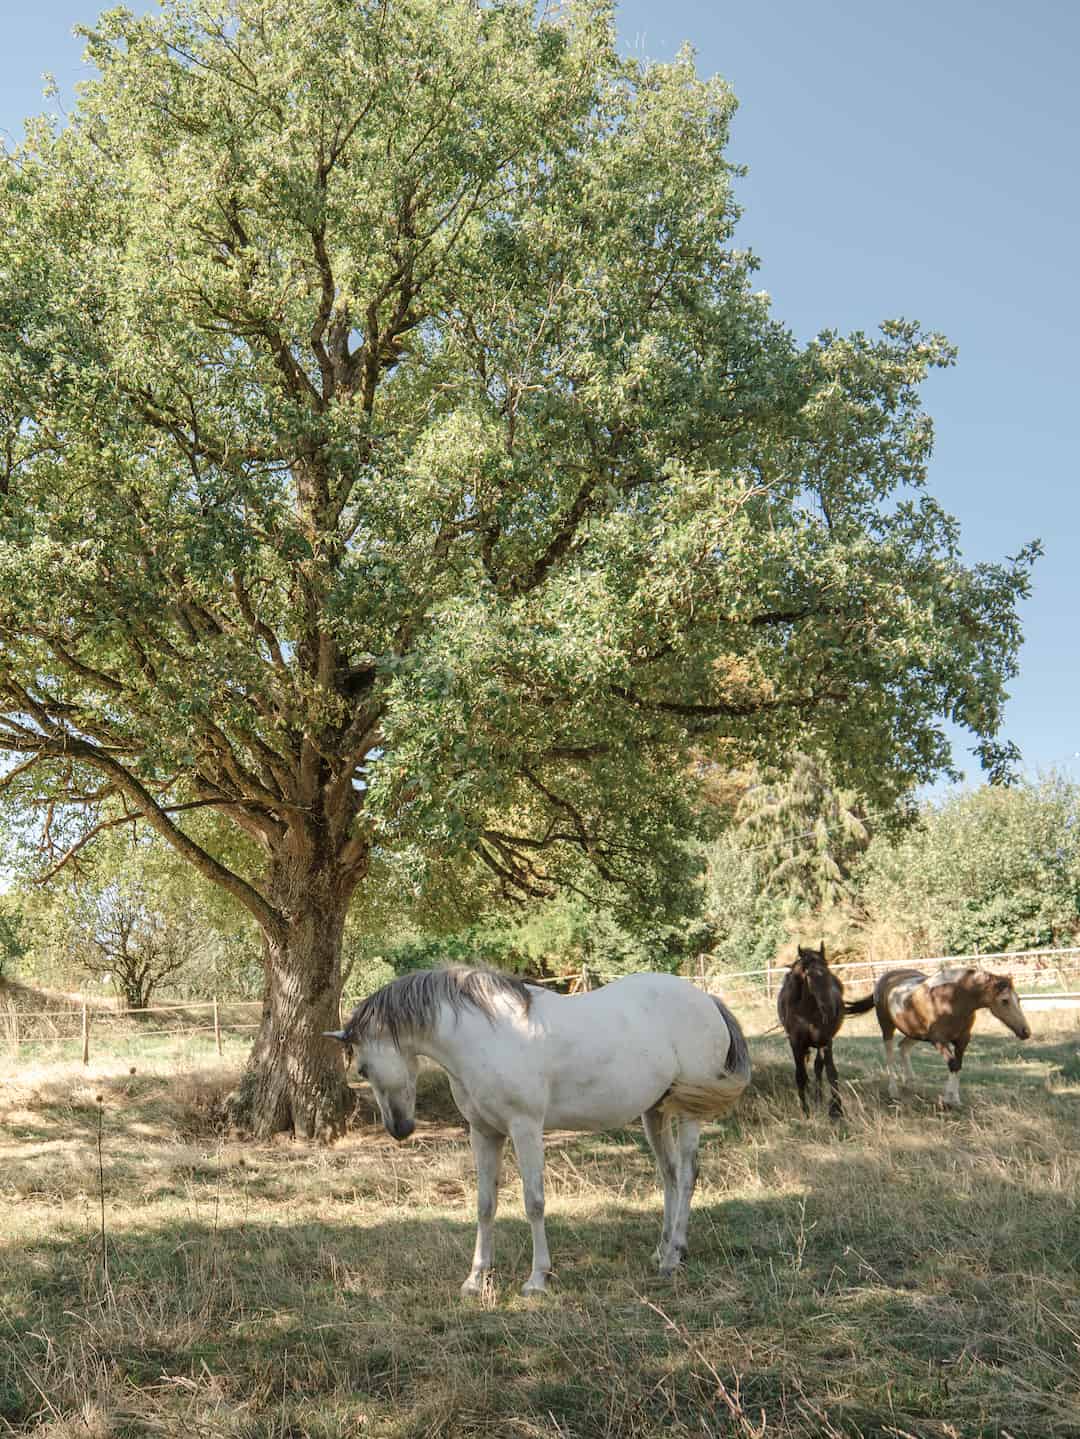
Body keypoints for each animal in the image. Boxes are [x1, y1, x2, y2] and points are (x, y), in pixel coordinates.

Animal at [324, 965, 751, 1296]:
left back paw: (673, 1256)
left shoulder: (524, 1128)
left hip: (688, 1113)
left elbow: (533, 1202)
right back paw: (662, 1252)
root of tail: (707, 1000)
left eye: (362, 1068)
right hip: (655, 1112)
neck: (483, 1037)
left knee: (688, 1175)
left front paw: (537, 1279)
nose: (399, 1129)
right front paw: (476, 1280)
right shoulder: (484, 1133)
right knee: (670, 1176)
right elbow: (485, 1204)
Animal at [776, 943, 845, 1118]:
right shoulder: (796, 1043)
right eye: (810, 975)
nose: (830, 1009)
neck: (806, 1012)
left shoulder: (826, 1041)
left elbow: (831, 1073)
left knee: (818, 1067)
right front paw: (805, 1110)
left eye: (828, 972)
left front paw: (836, 1110)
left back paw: (818, 1097)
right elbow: (800, 1075)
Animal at [844, 964, 1032, 1106]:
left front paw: (955, 1099)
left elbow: (957, 1065)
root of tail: (886, 978)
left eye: (1018, 999)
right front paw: (949, 1100)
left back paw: (910, 1082)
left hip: (915, 1032)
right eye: (1004, 1001)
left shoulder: (962, 1040)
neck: (952, 998)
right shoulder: (939, 1040)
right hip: (887, 1027)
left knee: (903, 1047)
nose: (1026, 1032)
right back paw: (894, 1091)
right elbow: (953, 1064)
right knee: (890, 1054)